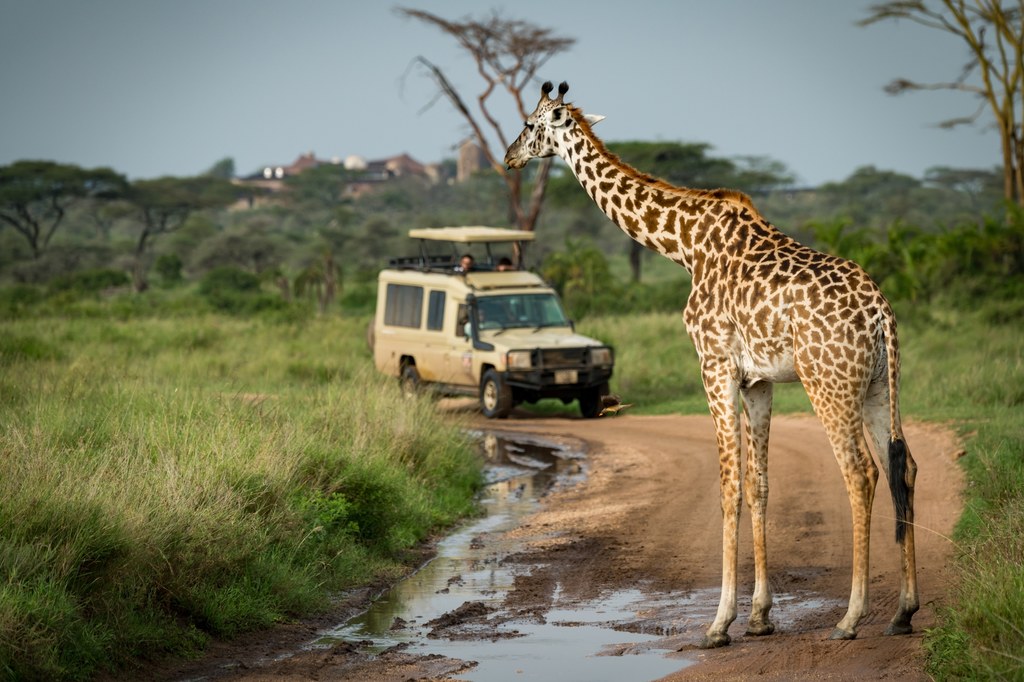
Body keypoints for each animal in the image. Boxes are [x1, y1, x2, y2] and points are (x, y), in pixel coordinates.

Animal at [503, 82, 921, 647]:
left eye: (530, 124)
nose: (509, 158)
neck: (683, 245)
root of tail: (881, 313)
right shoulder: (758, 381)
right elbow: (760, 485)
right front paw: (760, 617)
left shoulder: (714, 364)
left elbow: (729, 487)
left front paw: (720, 623)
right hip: (877, 385)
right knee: (904, 467)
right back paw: (903, 612)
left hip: (828, 381)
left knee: (860, 473)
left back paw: (851, 619)